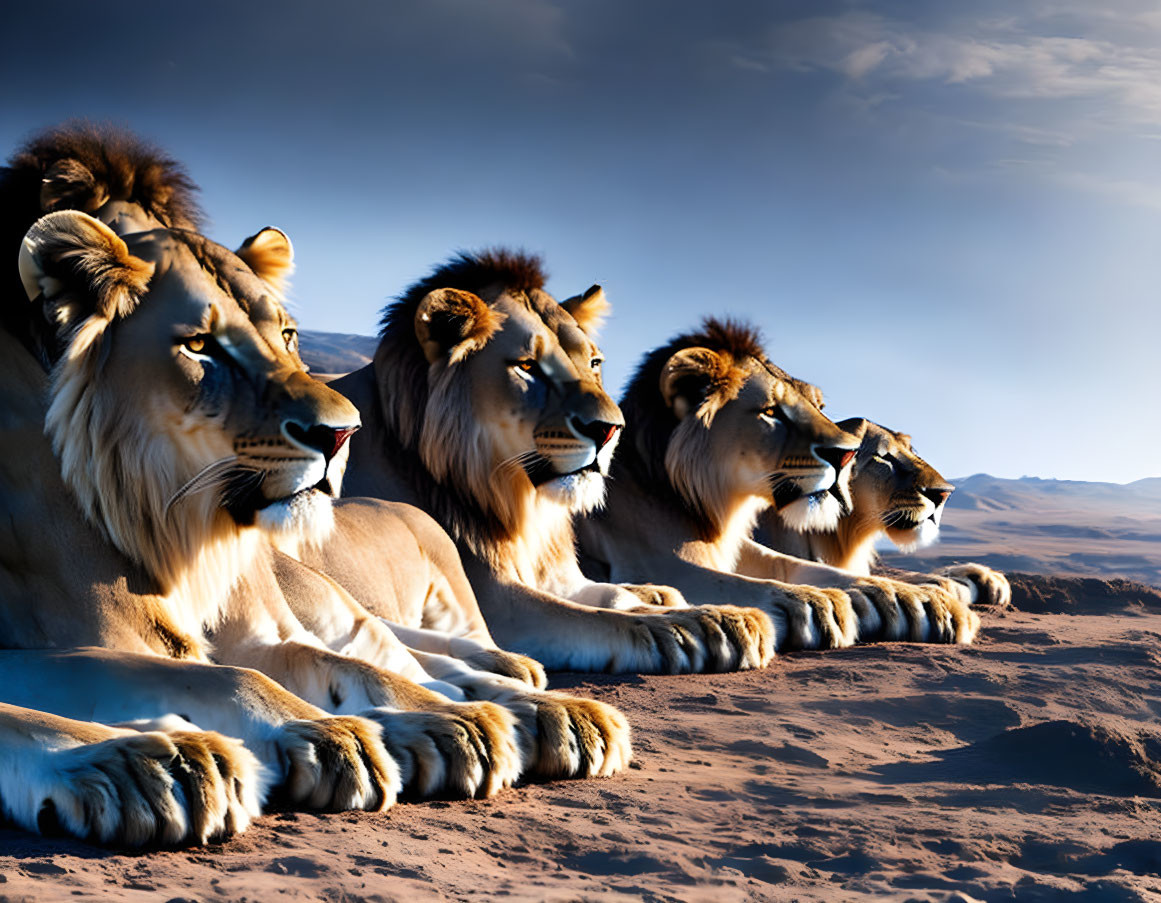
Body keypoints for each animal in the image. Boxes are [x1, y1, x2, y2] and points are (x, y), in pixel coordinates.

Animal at [332, 249, 775, 673]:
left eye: (594, 363)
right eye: (527, 367)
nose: (610, 430)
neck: (522, 504)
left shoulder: (560, 578)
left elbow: (614, 595)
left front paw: (661, 595)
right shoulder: (496, 602)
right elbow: (605, 619)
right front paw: (708, 624)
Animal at [573, 320, 979, 645]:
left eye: (818, 407)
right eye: (772, 412)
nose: (846, 456)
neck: (717, 504)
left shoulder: (745, 549)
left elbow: (823, 572)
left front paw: (919, 598)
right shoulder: (655, 562)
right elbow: (758, 586)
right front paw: (822, 606)